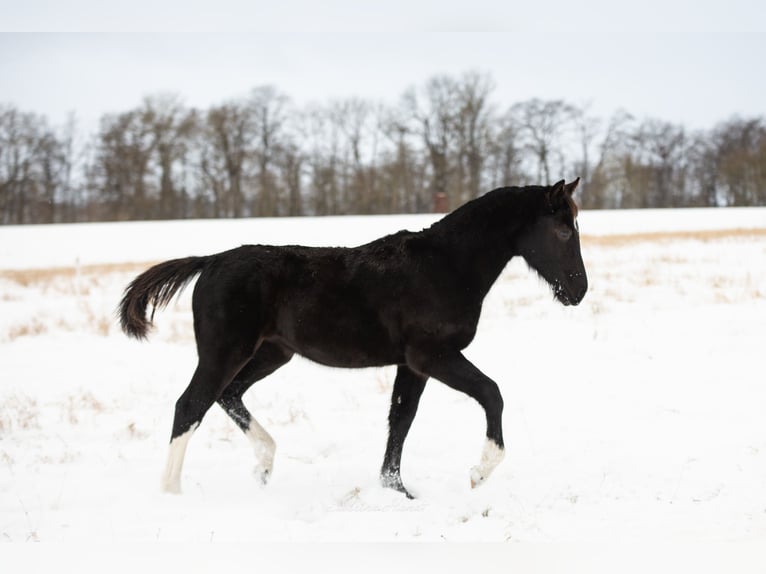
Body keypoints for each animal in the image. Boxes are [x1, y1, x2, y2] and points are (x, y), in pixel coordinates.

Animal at [119, 178, 587, 498]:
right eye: (564, 231)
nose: (579, 290)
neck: (445, 266)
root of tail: (211, 261)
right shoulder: (432, 355)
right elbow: (492, 393)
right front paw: (479, 472)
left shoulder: (411, 364)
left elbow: (401, 419)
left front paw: (396, 491)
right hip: (224, 351)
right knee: (190, 405)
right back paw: (172, 492)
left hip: (272, 353)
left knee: (227, 394)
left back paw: (265, 467)